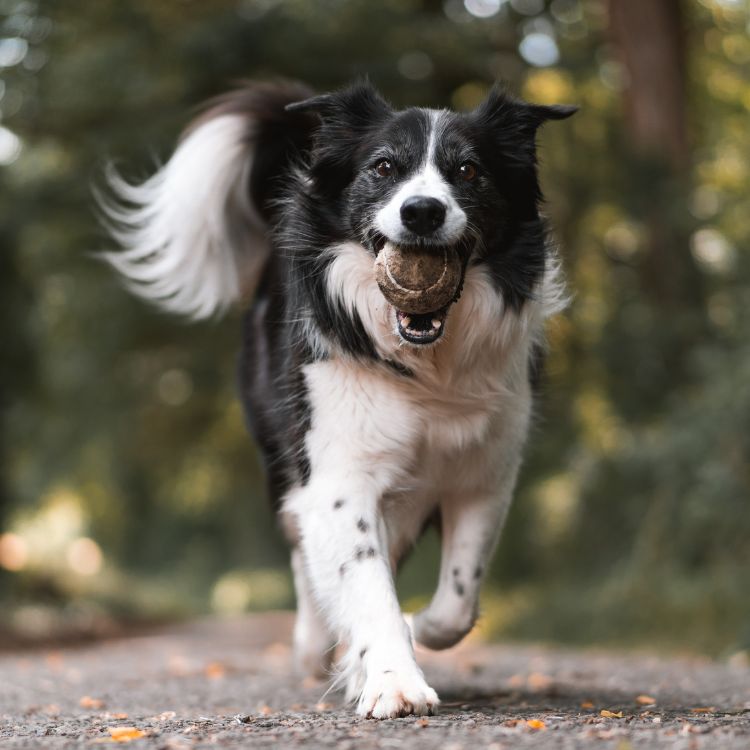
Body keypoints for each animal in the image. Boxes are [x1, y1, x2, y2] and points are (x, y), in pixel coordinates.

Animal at [100, 79, 576, 720]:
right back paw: (314, 647)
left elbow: (456, 601)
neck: (428, 364)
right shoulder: (338, 473)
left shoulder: (484, 473)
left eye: (469, 170)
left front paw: (411, 633)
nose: (421, 211)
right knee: (305, 555)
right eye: (384, 167)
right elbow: (364, 583)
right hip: (284, 460)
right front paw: (394, 681)